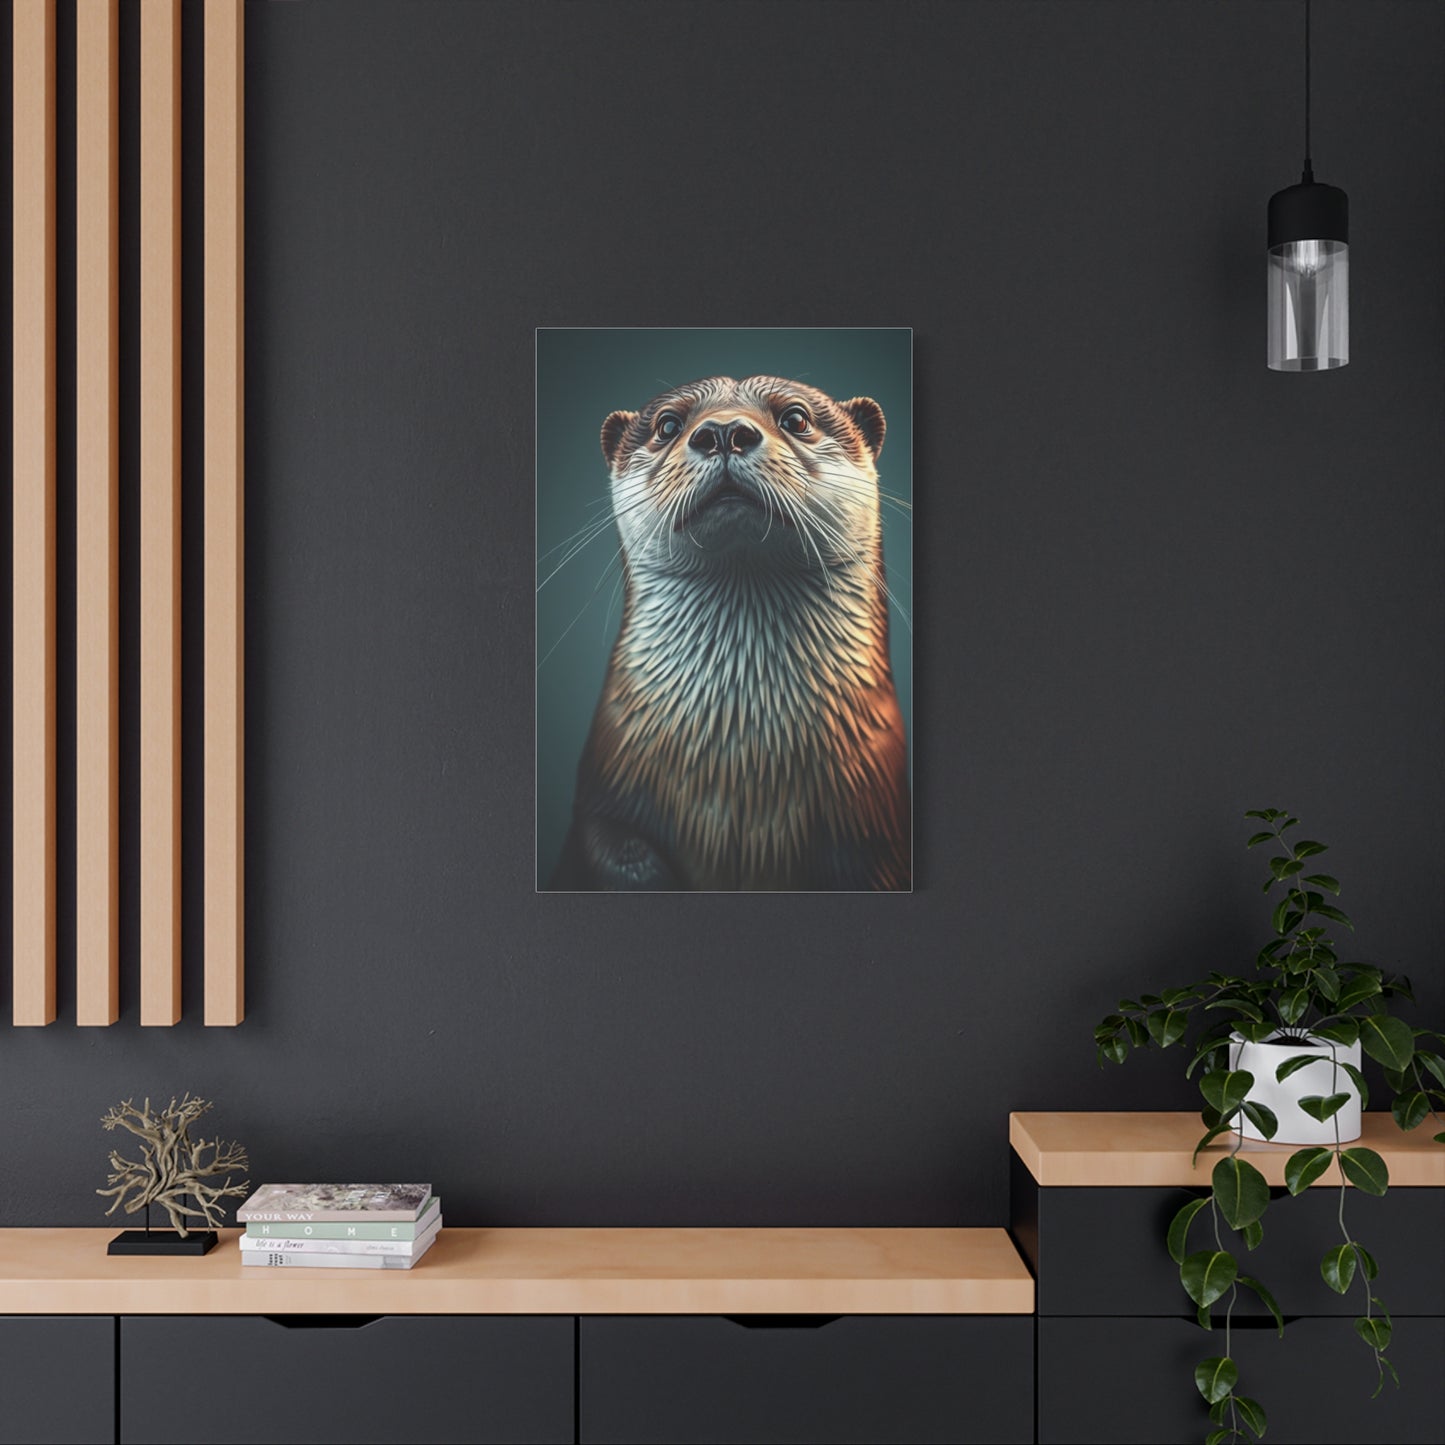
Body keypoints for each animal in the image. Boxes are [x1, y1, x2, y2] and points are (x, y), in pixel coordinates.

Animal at [550, 375, 910, 891]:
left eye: (796, 418)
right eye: (668, 425)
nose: (722, 432)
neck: (742, 763)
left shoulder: (880, 825)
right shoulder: (601, 801)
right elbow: (616, 852)